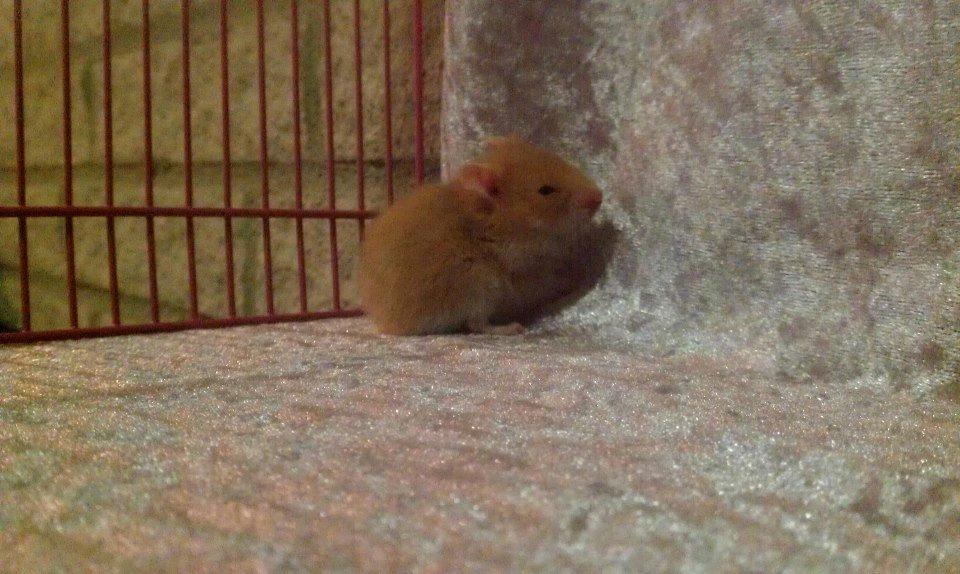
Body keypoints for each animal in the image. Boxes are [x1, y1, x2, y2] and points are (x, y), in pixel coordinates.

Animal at [358, 135, 603, 335]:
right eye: (545, 190)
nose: (599, 196)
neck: (499, 219)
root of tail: (388, 322)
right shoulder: (522, 265)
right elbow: (553, 278)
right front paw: (581, 276)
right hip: (477, 287)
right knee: (476, 325)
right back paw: (512, 328)